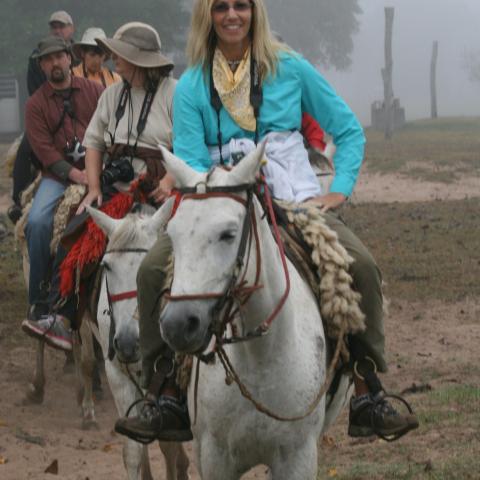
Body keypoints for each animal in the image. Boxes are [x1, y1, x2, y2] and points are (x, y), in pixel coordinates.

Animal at [145, 145, 348, 480]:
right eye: (172, 235)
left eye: (228, 234)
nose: (177, 325)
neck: (261, 358)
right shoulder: (214, 458)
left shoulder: (298, 458)